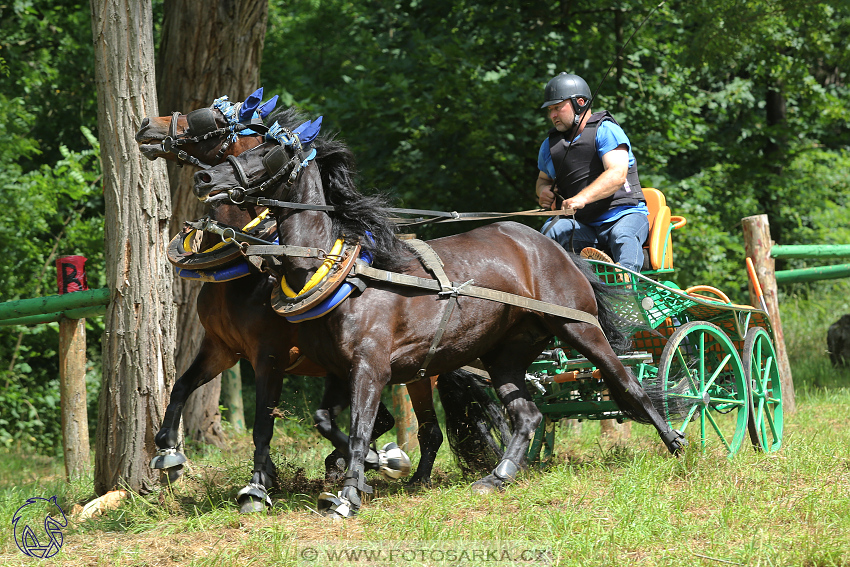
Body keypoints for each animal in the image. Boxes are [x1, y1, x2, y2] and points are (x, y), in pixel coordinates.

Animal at [133, 95, 504, 512]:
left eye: (209, 118)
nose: (146, 125)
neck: (251, 265)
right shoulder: (222, 348)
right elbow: (181, 386)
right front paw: (169, 452)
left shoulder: (270, 355)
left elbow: (263, 424)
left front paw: (258, 486)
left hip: (420, 371)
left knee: (425, 429)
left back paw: (406, 474)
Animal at [195, 126, 684, 516]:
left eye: (263, 150)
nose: (205, 177)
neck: (341, 269)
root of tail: (556, 250)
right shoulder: (338, 368)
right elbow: (325, 420)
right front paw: (374, 463)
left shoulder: (371, 367)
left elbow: (359, 428)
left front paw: (351, 492)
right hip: (506, 354)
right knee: (527, 414)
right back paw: (498, 476)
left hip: (580, 329)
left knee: (628, 384)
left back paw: (676, 444)